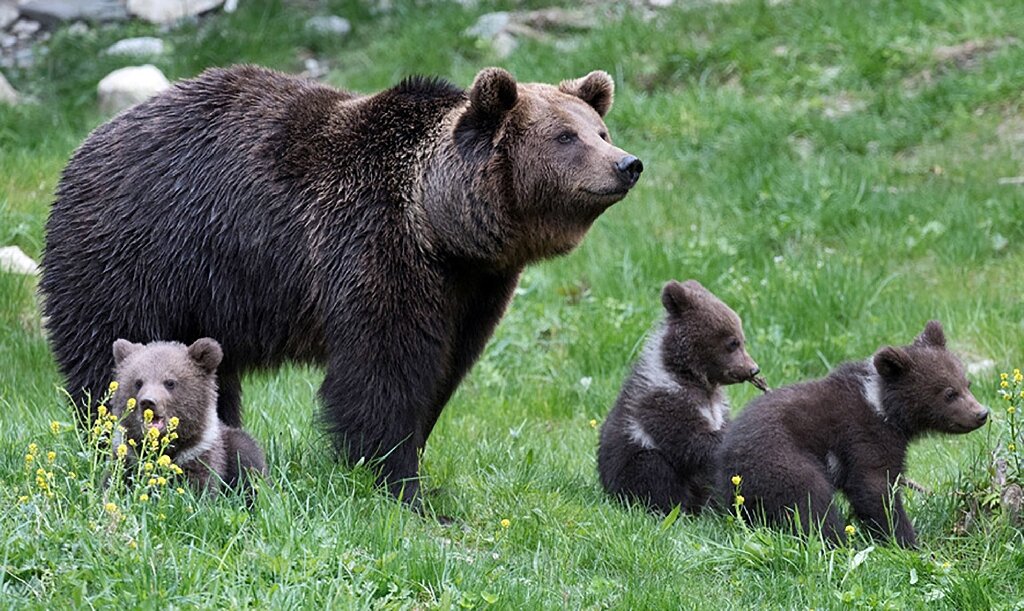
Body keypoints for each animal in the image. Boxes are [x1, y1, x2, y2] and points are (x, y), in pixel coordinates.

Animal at [46, 63, 647, 499]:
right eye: (566, 136)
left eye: (601, 130)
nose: (627, 163)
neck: (442, 226)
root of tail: (85, 146)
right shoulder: (372, 246)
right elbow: (382, 372)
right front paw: (401, 484)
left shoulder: (474, 289)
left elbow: (444, 370)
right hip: (136, 252)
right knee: (106, 350)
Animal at [598, 280, 761, 513]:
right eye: (733, 342)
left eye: (742, 339)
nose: (753, 369)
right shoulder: (665, 398)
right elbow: (690, 440)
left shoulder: (717, 406)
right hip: (629, 465)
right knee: (653, 470)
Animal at [716, 321, 987, 544]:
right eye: (949, 393)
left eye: (967, 383)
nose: (981, 413)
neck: (882, 407)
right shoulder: (863, 435)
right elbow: (875, 487)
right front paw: (904, 538)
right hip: (781, 458)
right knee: (810, 498)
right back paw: (836, 539)